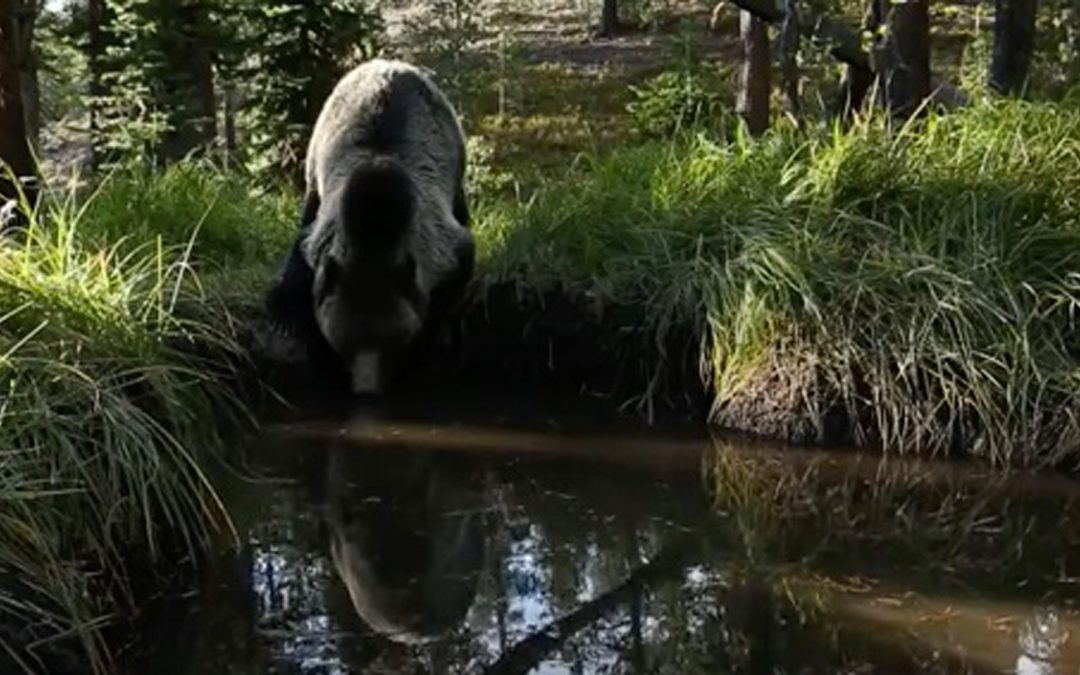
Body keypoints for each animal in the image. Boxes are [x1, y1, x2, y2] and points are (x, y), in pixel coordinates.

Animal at [259, 59, 474, 394]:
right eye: (342, 347)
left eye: (395, 345)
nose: (366, 389)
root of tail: (386, 62)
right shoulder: (319, 241)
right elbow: (298, 274)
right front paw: (285, 325)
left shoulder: (445, 248)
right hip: (315, 157)